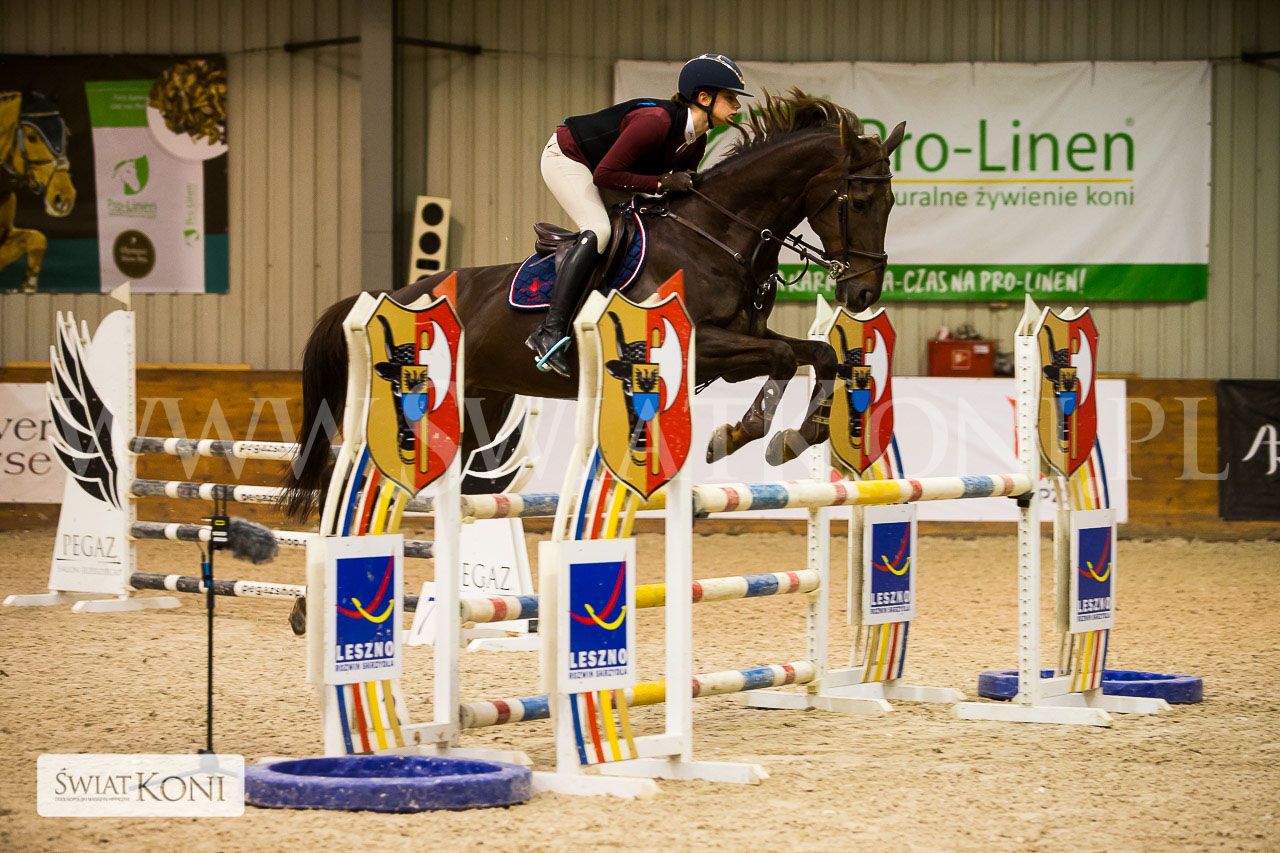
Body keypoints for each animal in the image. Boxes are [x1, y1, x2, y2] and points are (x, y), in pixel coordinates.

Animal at [283, 91, 904, 521]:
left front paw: (795, 436)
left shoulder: (745, 341)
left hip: (481, 405)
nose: (864, 293)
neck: (718, 236)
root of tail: (392, 297)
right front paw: (737, 435)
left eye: (894, 200)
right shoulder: (705, 348)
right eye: (861, 200)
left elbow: (818, 354)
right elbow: (783, 357)